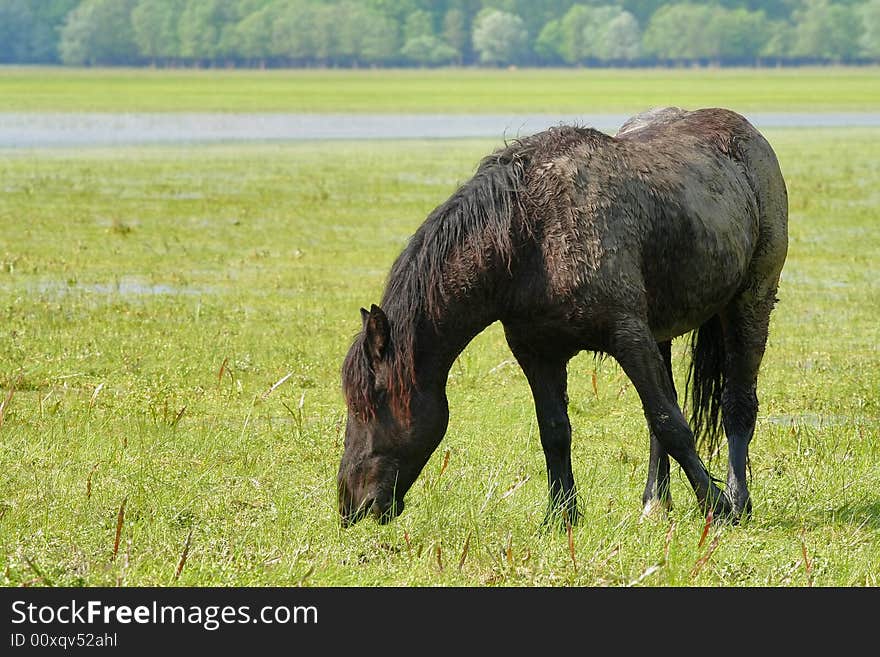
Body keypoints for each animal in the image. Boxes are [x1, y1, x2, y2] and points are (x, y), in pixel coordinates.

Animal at [338, 107, 792, 528]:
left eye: (373, 400)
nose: (351, 507)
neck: (532, 233)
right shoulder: (537, 352)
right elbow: (556, 431)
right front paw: (561, 516)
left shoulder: (628, 335)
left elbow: (672, 424)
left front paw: (717, 507)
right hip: (661, 330)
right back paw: (655, 503)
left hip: (751, 300)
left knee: (736, 405)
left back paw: (738, 501)